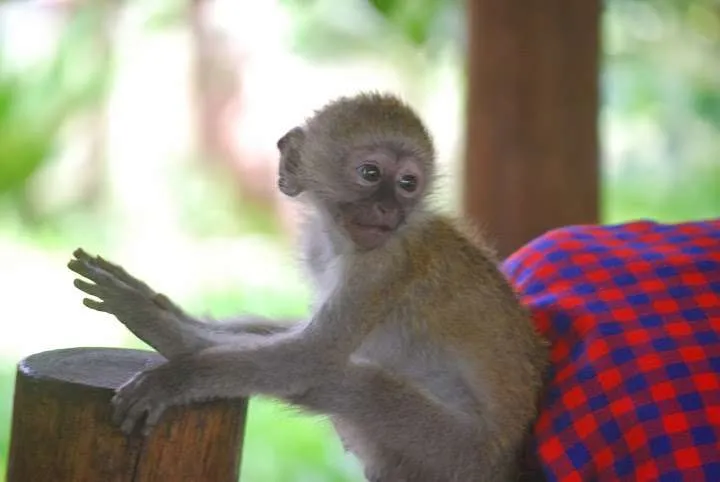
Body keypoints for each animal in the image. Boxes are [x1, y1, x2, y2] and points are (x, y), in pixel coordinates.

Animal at [68, 92, 549, 482]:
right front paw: (171, 321)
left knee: (352, 382)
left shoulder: (383, 267)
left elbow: (309, 357)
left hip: (456, 450)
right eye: (370, 173)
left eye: (408, 183)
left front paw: (169, 351)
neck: (343, 240)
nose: (388, 208)